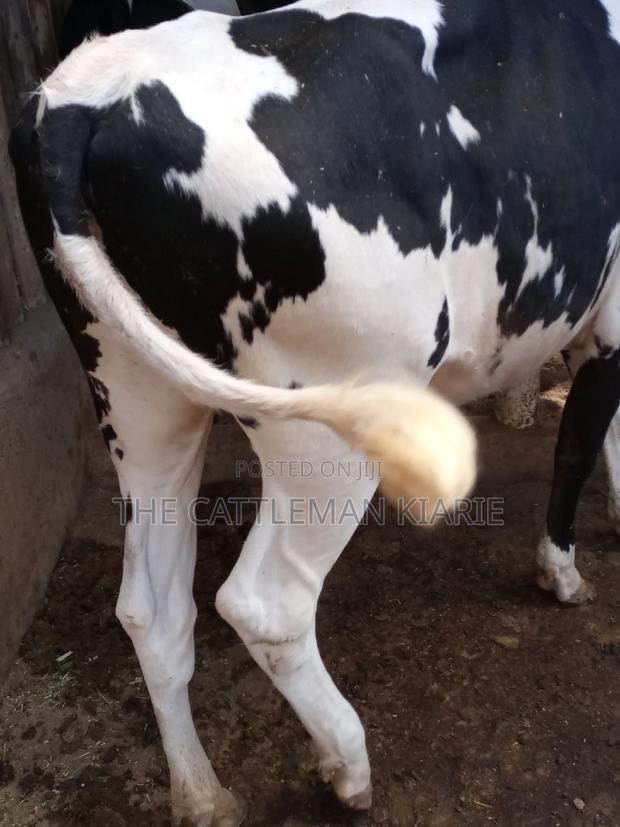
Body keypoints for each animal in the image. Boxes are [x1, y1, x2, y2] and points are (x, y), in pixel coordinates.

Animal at [8, 0, 620, 824]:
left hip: (134, 391)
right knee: (264, 604)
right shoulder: (613, 317)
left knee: (150, 606)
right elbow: (581, 444)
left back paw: (203, 794)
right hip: (332, 416)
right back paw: (349, 765)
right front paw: (562, 574)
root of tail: (87, 94)